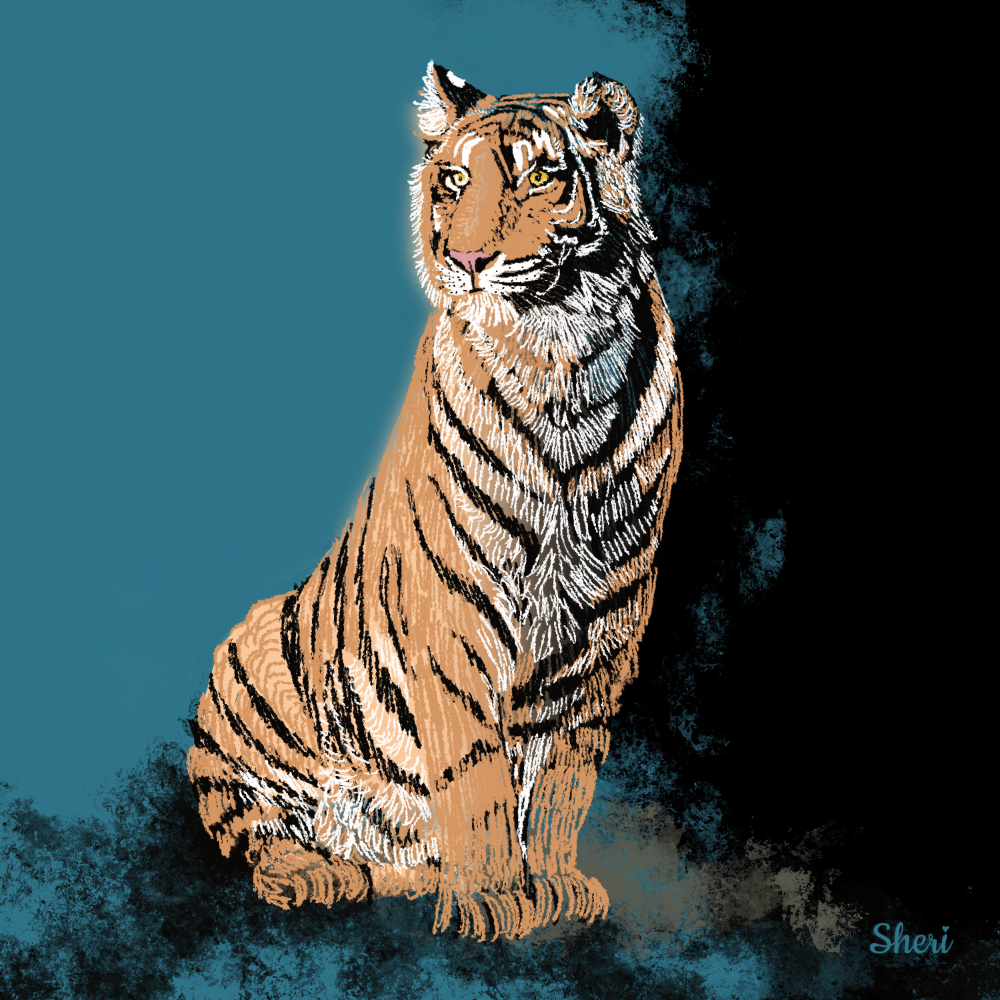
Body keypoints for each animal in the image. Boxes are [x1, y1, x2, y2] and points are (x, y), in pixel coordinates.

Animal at [187, 61, 683, 941]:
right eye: (454, 180)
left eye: (540, 176)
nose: (466, 257)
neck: (559, 361)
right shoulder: (454, 613)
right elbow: (476, 774)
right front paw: (491, 897)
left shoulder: (607, 623)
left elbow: (562, 777)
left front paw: (556, 888)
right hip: (249, 667)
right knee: (255, 830)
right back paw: (318, 873)